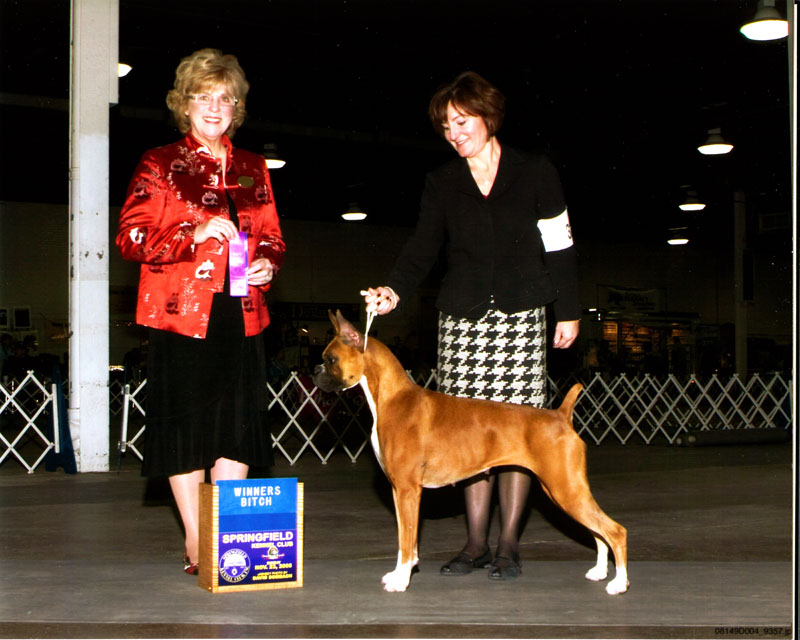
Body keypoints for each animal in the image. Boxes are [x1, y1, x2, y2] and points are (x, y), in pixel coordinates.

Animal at [310, 310, 628, 596]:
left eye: (331, 359)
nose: (314, 372)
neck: (391, 397)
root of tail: (561, 415)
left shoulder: (409, 490)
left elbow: (407, 539)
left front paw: (401, 581)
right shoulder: (399, 491)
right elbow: (404, 539)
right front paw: (401, 572)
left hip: (566, 489)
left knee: (614, 531)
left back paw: (618, 584)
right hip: (563, 490)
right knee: (599, 532)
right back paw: (600, 572)